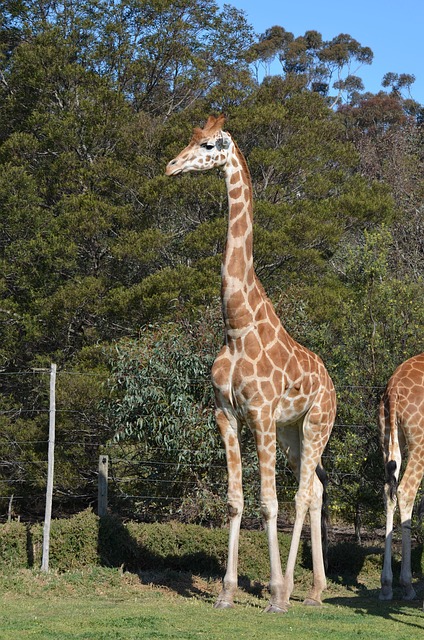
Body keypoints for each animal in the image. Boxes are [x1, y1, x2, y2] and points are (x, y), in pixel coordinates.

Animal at [165, 115, 336, 613]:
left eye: (209, 145)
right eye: (190, 139)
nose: (171, 166)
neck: (236, 328)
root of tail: (332, 384)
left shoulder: (259, 414)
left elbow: (269, 502)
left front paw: (275, 593)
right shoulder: (226, 414)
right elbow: (235, 500)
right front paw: (226, 591)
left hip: (317, 423)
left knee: (301, 493)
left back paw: (292, 590)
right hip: (293, 431)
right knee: (315, 490)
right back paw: (313, 590)